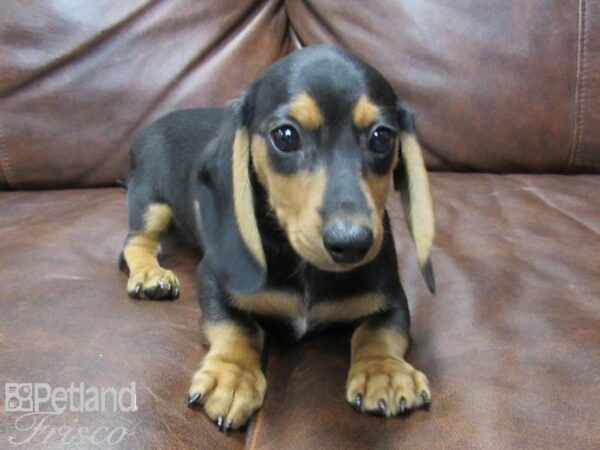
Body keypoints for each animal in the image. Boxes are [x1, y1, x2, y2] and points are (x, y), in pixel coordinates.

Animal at [119, 45, 436, 432]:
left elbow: (380, 330)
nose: (352, 244)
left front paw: (384, 372)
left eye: (382, 138)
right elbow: (238, 327)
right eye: (286, 136)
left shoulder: (389, 293)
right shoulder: (212, 278)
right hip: (151, 201)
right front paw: (232, 377)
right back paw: (151, 275)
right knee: (136, 243)